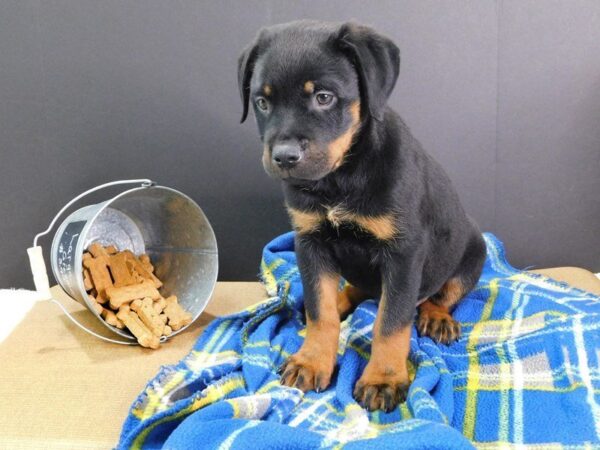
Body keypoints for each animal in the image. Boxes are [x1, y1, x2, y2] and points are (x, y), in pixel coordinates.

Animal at [237, 22, 486, 414]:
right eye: (262, 102)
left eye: (323, 97)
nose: (285, 157)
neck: (339, 178)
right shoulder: (310, 242)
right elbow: (320, 308)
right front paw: (312, 361)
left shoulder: (403, 253)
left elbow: (391, 320)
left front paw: (383, 378)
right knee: (353, 290)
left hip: (474, 250)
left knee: (442, 293)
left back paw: (436, 317)